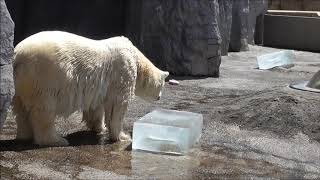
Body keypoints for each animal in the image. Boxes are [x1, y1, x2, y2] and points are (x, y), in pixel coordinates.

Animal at [13, 31, 168, 146]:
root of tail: (17, 55)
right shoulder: (122, 72)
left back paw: (25, 135)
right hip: (44, 76)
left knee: (21, 109)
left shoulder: (97, 85)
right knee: (44, 110)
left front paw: (99, 128)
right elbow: (118, 105)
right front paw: (123, 136)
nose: (159, 97)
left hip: (22, 82)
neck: (136, 57)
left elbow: (96, 106)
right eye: (162, 85)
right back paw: (57, 140)